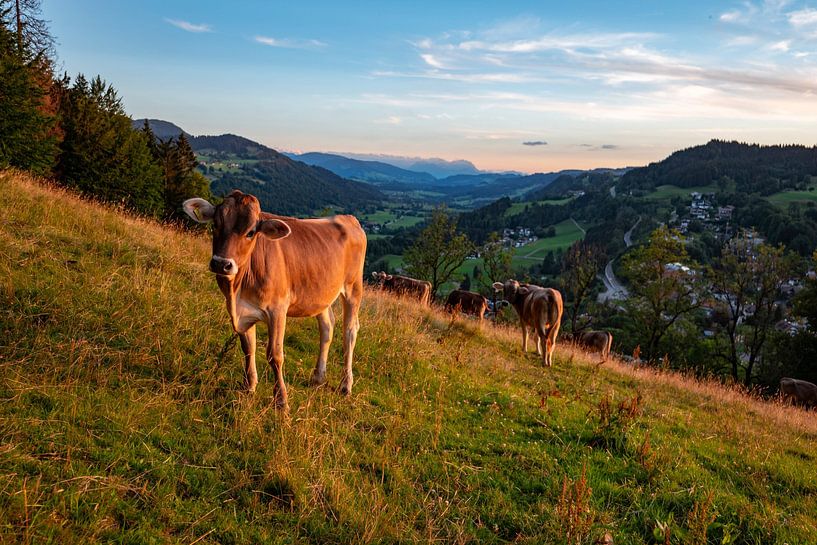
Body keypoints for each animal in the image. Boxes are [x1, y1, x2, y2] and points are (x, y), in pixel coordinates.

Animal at [183, 190, 366, 410]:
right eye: (216, 224)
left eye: (251, 232)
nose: (221, 264)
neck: (238, 288)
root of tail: (349, 218)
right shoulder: (241, 311)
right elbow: (248, 348)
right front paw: (249, 386)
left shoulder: (277, 310)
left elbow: (275, 355)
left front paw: (281, 401)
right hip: (321, 293)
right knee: (327, 327)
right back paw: (318, 377)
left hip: (353, 287)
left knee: (350, 331)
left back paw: (346, 384)